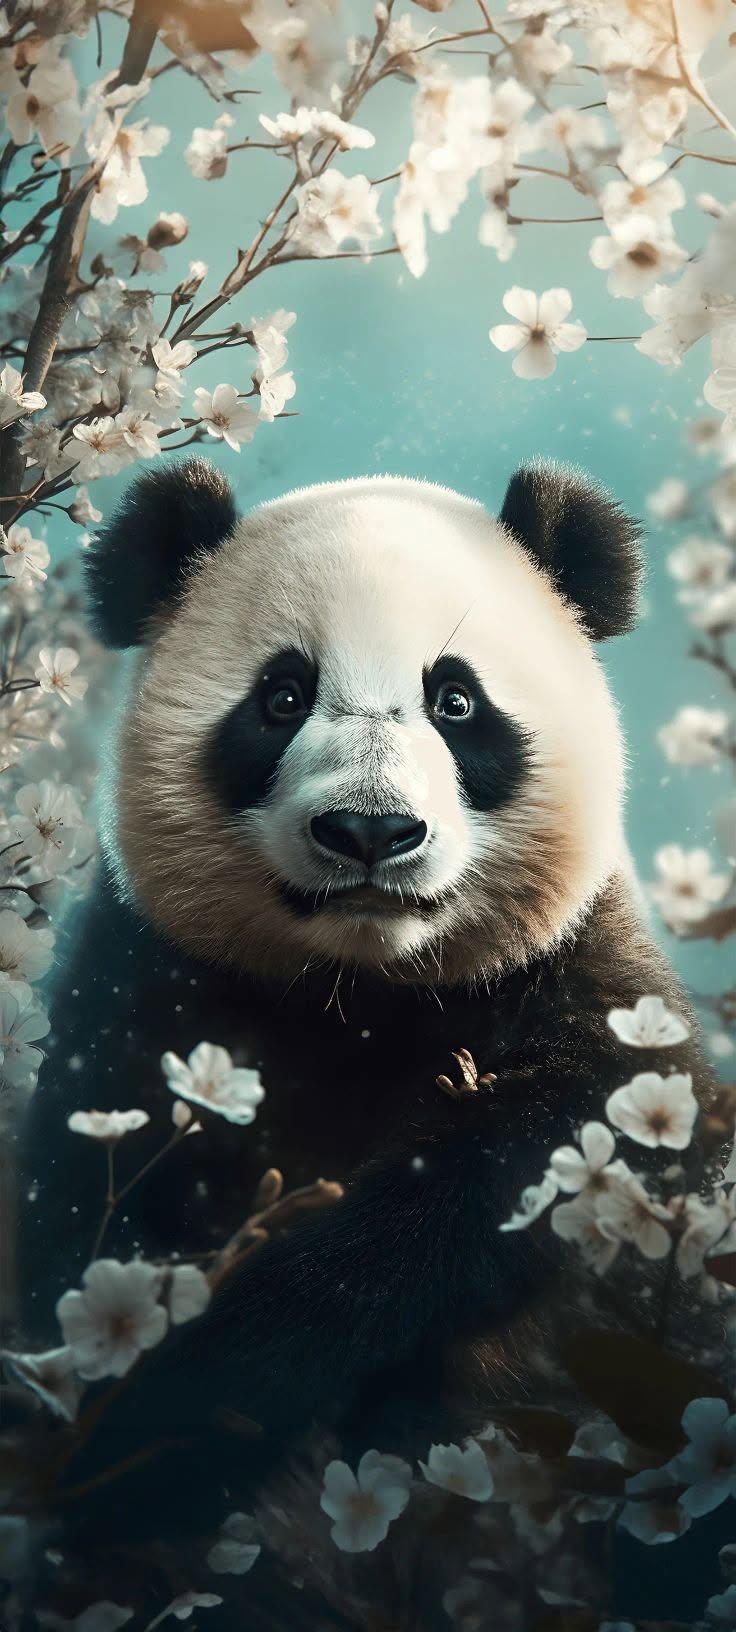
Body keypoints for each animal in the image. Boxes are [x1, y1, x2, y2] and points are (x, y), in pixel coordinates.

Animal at [20, 455, 712, 1530]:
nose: (370, 832)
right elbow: (83, 1190)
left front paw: (211, 1382)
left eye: (457, 703)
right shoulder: (145, 979)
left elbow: (521, 1164)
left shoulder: (581, 980)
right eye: (282, 696)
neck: (360, 989)